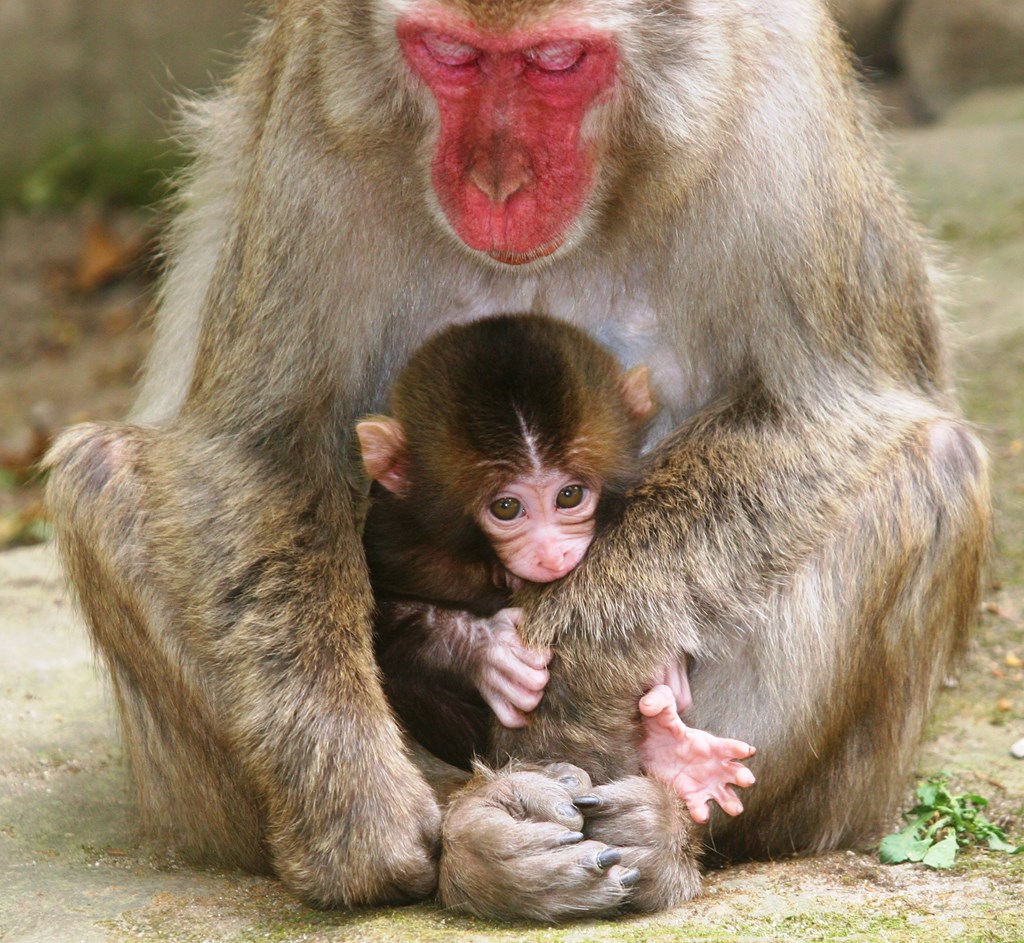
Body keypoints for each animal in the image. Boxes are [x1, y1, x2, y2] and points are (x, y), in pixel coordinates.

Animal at [358, 313, 753, 819]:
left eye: (569, 496)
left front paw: (668, 666)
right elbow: (372, 619)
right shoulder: (392, 534)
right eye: (506, 507)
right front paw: (490, 652)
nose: (550, 553)